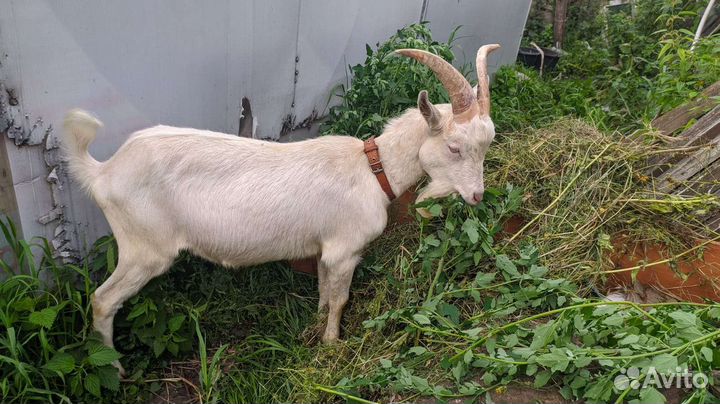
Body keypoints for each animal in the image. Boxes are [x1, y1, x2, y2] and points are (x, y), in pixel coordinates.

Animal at [63, 45, 500, 374]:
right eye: (454, 147)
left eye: (487, 144)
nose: (477, 196)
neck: (372, 169)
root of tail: (104, 171)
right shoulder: (346, 250)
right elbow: (340, 299)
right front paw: (331, 344)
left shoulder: (324, 248)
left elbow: (323, 289)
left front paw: (314, 327)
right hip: (144, 248)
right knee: (103, 300)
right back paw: (114, 368)